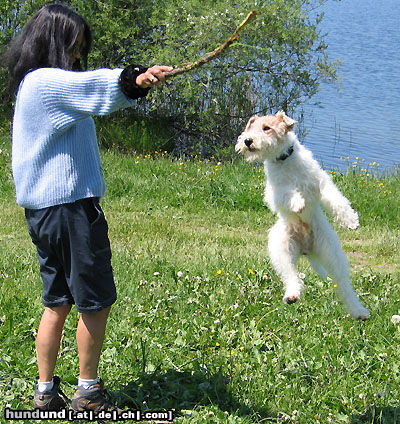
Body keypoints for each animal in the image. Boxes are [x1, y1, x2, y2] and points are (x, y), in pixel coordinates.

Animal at [236, 111, 370, 320]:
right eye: (250, 127)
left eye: (267, 128)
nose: (247, 140)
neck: (285, 160)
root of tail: (307, 250)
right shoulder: (275, 193)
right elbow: (287, 193)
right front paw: (299, 202)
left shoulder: (321, 183)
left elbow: (337, 200)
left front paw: (351, 221)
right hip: (282, 249)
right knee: (292, 276)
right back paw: (292, 296)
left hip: (332, 254)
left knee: (344, 286)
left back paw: (359, 311)